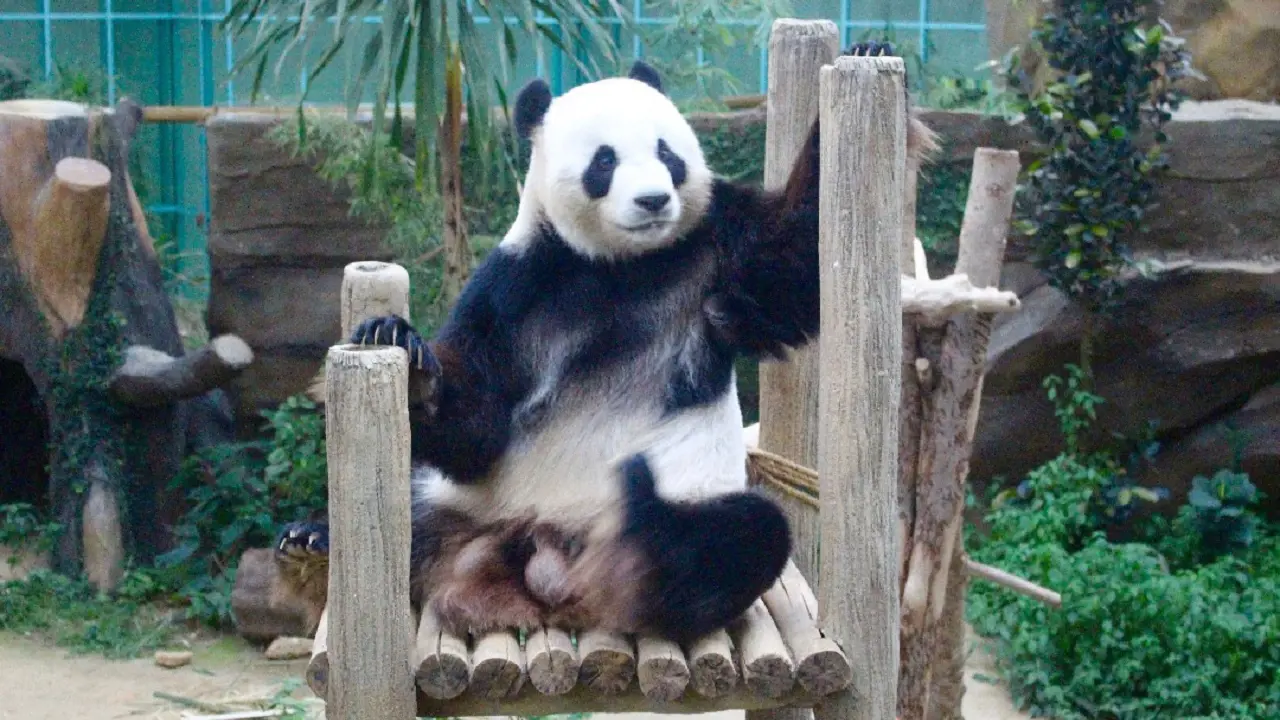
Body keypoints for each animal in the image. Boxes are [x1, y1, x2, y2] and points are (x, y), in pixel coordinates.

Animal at [275, 42, 936, 645]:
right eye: (604, 161)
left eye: (667, 153)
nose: (653, 200)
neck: (623, 264)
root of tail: (538, 563)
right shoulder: (521, 284)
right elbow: (478, 424)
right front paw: (401, 348)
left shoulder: (716, 248)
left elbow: (795, 258)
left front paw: (869, 51)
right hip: (470, 509)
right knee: (407, 507)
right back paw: (312, 544)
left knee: (742, 534)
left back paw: (639, 546)